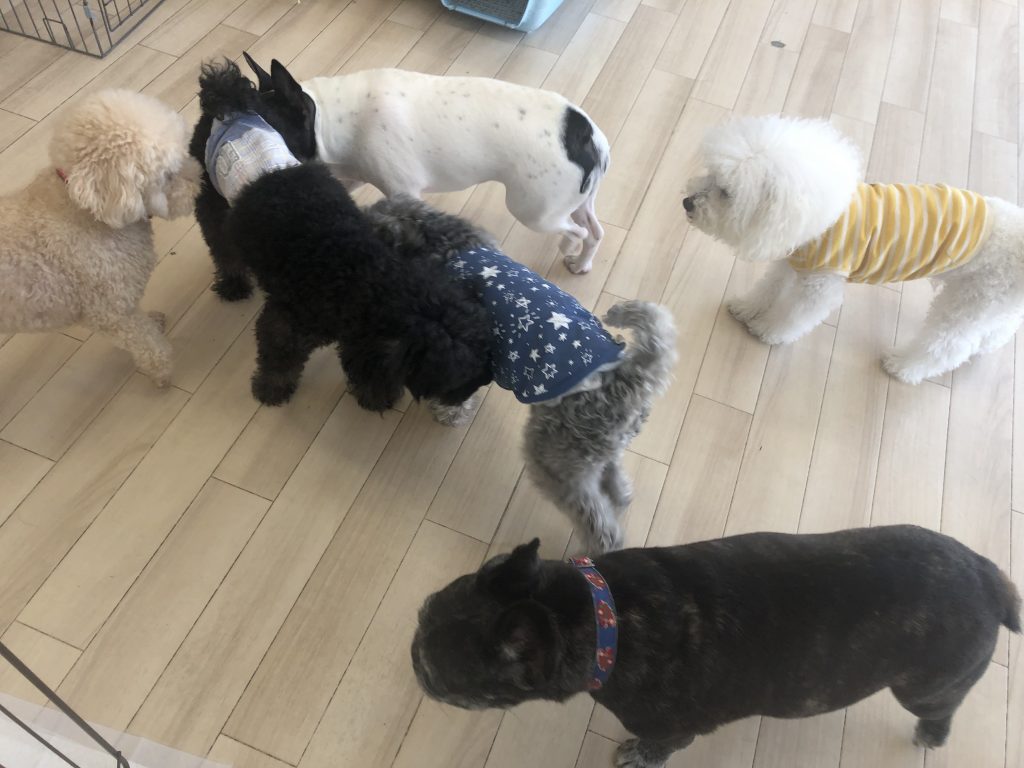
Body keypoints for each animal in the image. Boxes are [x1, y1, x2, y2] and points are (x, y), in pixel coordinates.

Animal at [0, 89, 200, 386]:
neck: (88, 212)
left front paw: (154, 322)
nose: (201, 181)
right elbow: (147, 343)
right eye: (167, 175)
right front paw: (162, 371)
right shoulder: (111, 314)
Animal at [240, 53, 610, 274]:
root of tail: (588, 137)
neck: (328, 116)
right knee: (594, 230)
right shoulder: (353, 173)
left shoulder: (402, 190)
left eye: (265, 128)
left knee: (574, 230)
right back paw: (582, 262)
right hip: (575, 201)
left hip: (533, 210)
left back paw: (569, 246)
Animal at [362, 197, 677, 552]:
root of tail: (630, 377)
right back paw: (620, 497)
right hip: (597, 449)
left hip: (552, 458)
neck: (441, 241)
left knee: (599, 524)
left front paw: (448, 414)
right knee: (617, 485)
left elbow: (456, 396)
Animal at [412, 527, 1021, 767]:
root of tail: (986, 574)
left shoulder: (670, 730)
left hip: (923, 686)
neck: (597, 613)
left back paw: (931, 735)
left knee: (941, 707)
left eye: (439, 680)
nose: (412, 651)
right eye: (421, 613)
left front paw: (637, 758)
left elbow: (656, 748)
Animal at [682, 115, 1024, 384]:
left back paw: (902, 367)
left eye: (726, 192)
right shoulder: (792, 262)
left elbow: (795, 316)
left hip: (969, 301)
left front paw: (768, 330)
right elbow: (767, 287)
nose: (686, 202)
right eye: (711, 173)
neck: (821, 220)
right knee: (998, 329)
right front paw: (746, 307)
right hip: (989, 303)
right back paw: (986, 343)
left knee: (949, 345)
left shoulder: (820, 286)